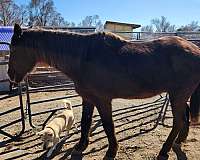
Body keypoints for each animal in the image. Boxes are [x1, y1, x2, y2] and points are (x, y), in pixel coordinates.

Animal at [8, 23, 200, 159]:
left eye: (14, 49)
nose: (10, 75)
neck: (84, 58)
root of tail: (195, 50)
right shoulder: (88, 98)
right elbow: (85, 121)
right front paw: (80, 146)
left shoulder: (102, 100)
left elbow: (108, 125)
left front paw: (111, 151)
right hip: (179, 95)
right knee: (184, 118)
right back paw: (178, 142)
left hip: (178, 95)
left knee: (178, 121)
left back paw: (164, 150)